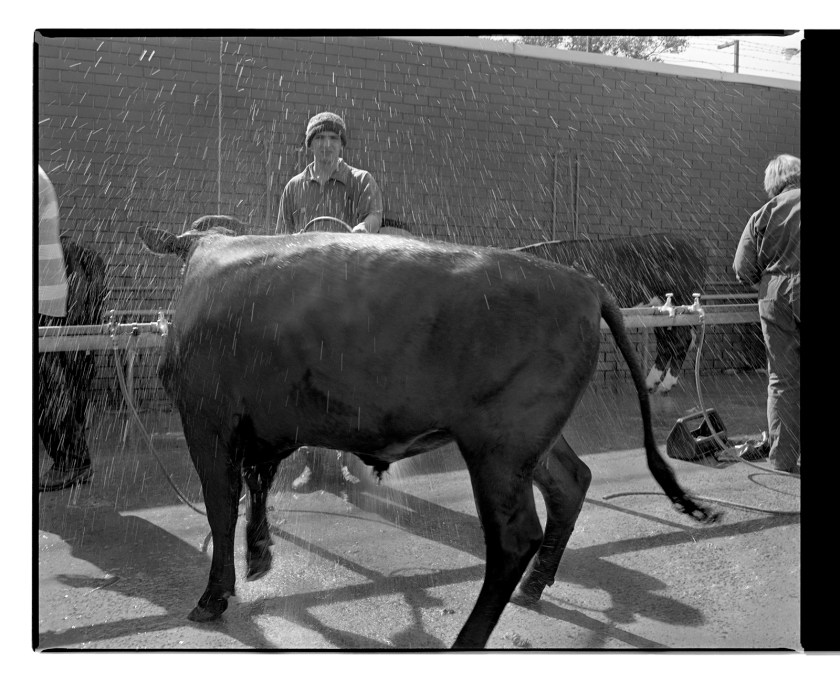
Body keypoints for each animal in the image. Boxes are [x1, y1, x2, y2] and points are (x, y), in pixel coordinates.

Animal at [514, 234, 708, 393]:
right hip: (660, 310)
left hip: (680, 303)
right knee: (667, 343)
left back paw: (666, 383)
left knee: (681, 339)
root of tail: (692, 241)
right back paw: (650, 383)